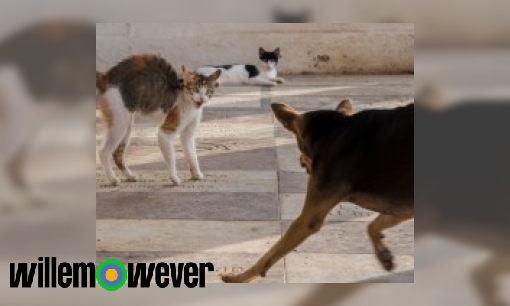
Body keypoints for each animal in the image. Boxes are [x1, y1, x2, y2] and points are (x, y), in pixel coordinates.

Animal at [95, 53, 221, 185]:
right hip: (119, 123)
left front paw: (196, 174)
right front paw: (174, 178)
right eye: (195, 89)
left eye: (208, 91)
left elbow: (192, 155)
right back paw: (112, 179)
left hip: (127, 125)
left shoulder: (188, 134)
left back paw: (130, 176)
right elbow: (171, 158)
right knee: (103, 152)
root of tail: (106, 76)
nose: (201, 99)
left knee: (117, 154)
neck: (189, 103)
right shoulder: (165, 133)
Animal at [222, 100, 414, 282]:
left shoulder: (308, 220)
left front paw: (239, 278)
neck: (334, 131)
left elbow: (269, 255)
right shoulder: (403, 208)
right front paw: (383, 254)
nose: (301, 161)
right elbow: (372, 225)